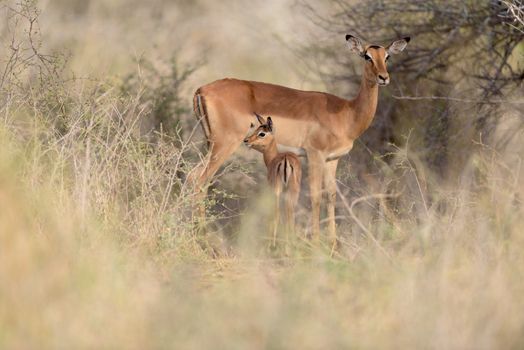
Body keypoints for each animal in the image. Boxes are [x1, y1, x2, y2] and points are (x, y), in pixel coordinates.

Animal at [244, 113, 300, 247]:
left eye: (262, 133)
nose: (246, 140)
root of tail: (285, 160)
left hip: (277, 191)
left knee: (277, 213)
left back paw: (273, 245)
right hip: (293, 192)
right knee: (290, 215)